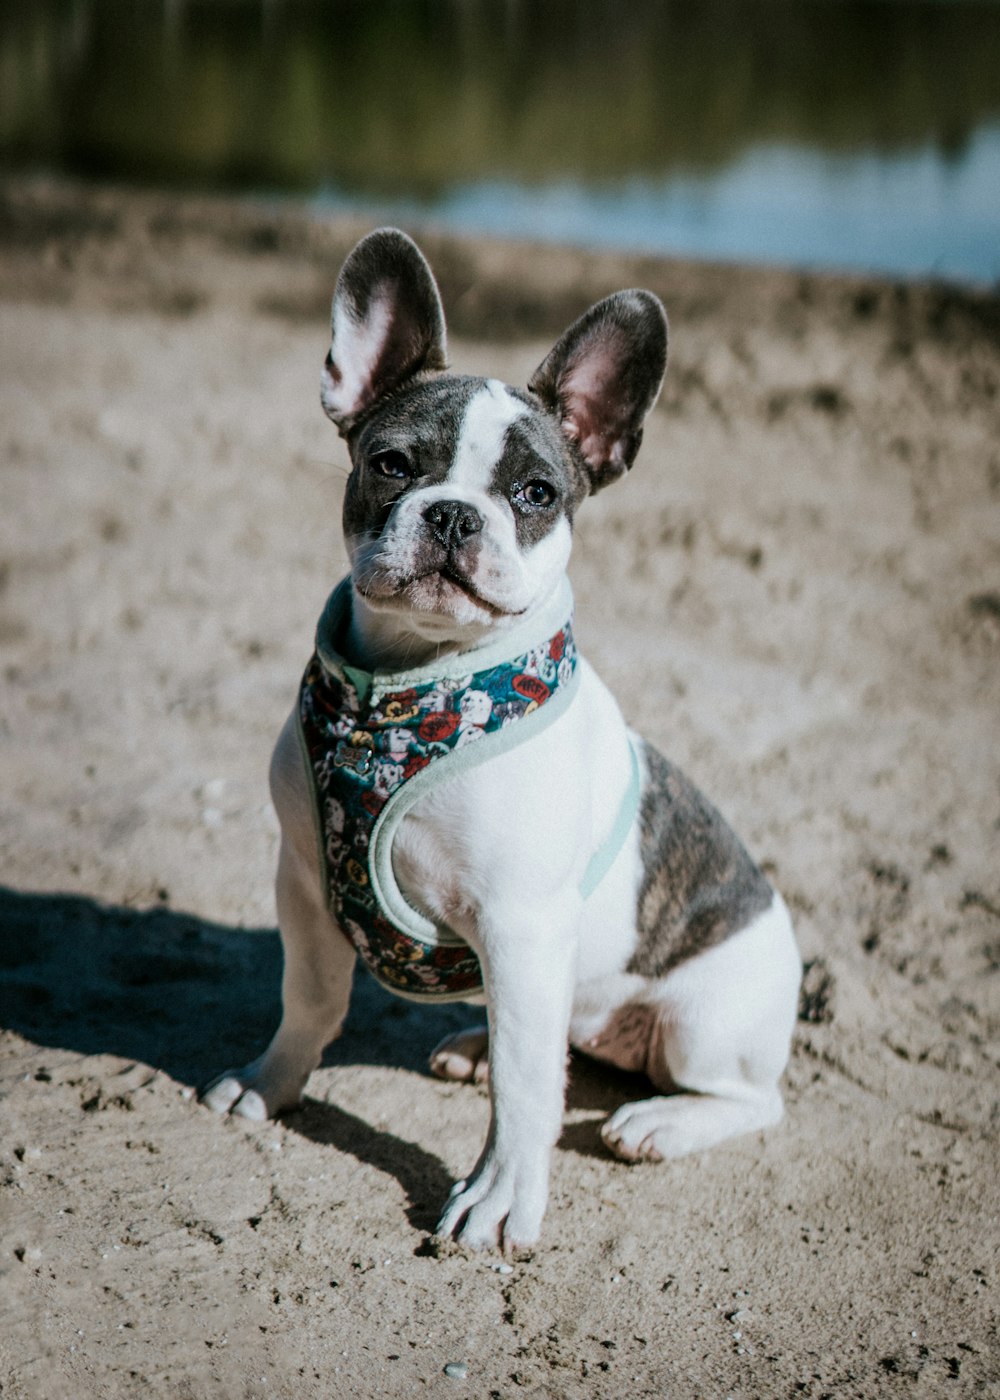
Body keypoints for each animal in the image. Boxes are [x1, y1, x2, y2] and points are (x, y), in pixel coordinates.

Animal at [198, 224, 801, 1254]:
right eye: (391, 465)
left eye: (535, 491)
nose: (452, 512)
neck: (407, 693)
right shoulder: (308, 883)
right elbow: (310, 998)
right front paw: (272, 1085)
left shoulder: (520, 923)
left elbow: (526, 1093)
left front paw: (501, 1194)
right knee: (554, 1038)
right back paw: (479, 1043)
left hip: (702, 1021)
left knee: (743, 1098)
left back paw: (660, 1121)